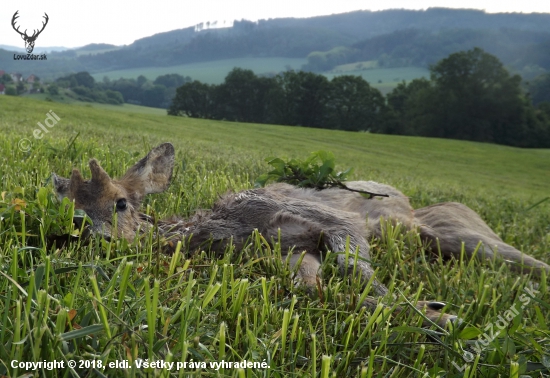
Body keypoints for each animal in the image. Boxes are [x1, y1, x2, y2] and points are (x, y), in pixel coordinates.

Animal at [52, 143, 550, 326]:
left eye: (120, 202)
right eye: (71, 210)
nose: (87, 235)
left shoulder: (328, 221)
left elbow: (358, 270)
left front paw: (438, 313)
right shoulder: (290, 249)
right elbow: (311, 286)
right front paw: (430, 311)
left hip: (463, 234)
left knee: (529, 262)